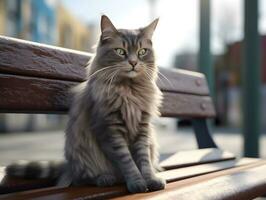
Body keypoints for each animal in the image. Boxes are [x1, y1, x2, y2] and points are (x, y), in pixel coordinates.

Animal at [5, 14, 164, 193]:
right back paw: (104, 178)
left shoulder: (143, 129)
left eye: (142, 52)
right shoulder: (110, 130)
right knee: (82, 179)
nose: (133, 62)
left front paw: (151, 179)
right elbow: (127, 162)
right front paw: (137, 182)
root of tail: (69, 166)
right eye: (120, 52)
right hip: (82, 154)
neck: (129, 91)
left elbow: (144, 161)